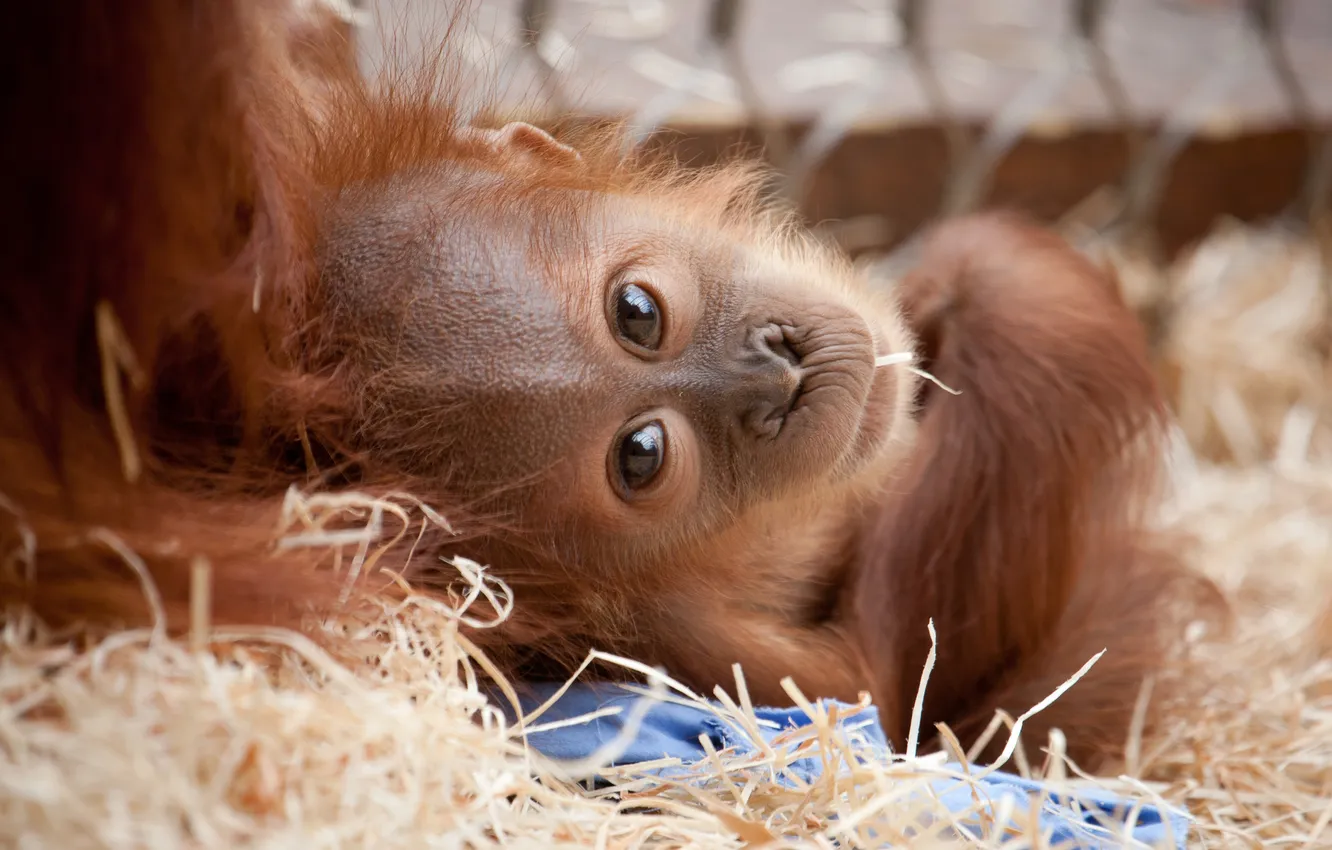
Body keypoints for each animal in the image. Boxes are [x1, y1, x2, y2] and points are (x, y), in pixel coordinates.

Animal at [0, 0, 1220, 771]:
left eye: (637, 311)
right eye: (643, 455)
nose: (774, 369)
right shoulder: (717, 655)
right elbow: (901, 694)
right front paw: (991, 284)